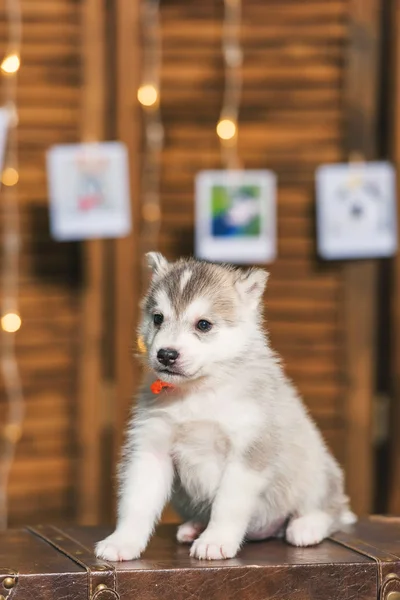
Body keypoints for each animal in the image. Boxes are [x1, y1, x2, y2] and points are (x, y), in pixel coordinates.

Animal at [95, 251, 354, 560]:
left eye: (203, 324)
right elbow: (136, 503)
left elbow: (227, 505)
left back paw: (306, 526)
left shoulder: (248, 451)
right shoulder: (150, 447)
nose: (166, 354)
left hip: (317, 473)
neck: (198, 393)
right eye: (158, 318)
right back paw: (194, 526)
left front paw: (215, 541)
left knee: (332, 511)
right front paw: (123, 542)